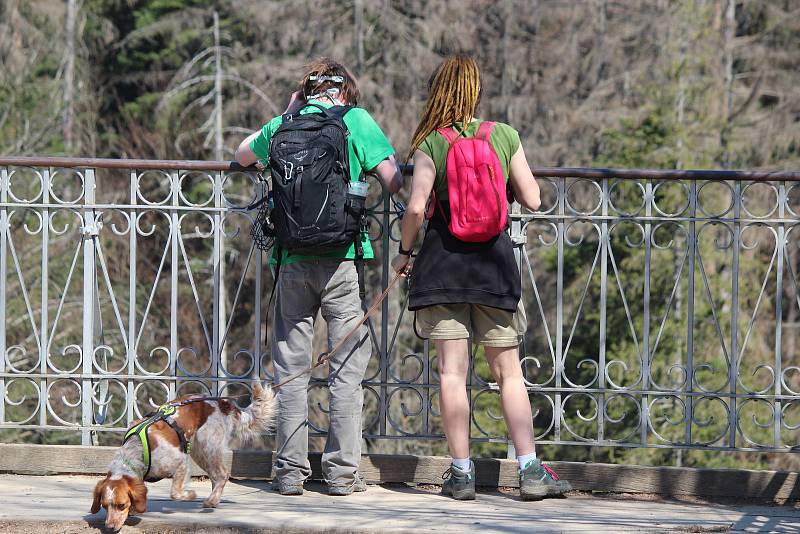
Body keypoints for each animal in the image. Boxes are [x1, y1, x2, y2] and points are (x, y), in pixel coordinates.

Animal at [91, 382, 276, 532]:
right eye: (105, 506)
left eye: (121, 505)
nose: (109, 527)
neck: (135, 451)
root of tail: (224, 403)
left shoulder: (180, 461)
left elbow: (175, 493)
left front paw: (190, 495)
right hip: (198, 450)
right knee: (216, 476)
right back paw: (213, 498)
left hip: (206, 445)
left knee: (222, 474)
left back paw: (211, 502)